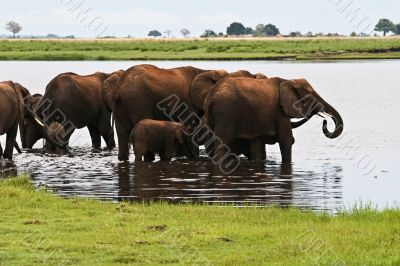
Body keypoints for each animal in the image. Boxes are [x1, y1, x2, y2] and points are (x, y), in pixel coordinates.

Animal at [103, 64, 234, 161]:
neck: (206, 71)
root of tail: (118, 90)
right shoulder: (188, 103)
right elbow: (190, 129)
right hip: (138, 101)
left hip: (121, 107)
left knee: (122, 136)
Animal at [205, 76, 346, 162]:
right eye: (311, 96)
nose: (325, 121)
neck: (289, 80)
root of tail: (211, 97)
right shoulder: (279, 112)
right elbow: (286, 140)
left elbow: (257, 144)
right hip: (226, 114)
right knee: (221, 144)